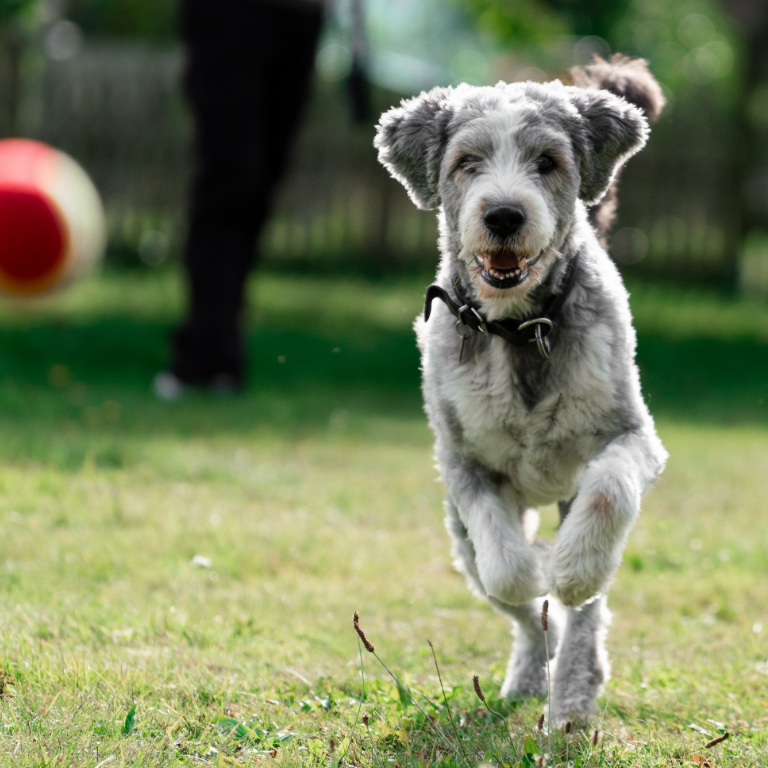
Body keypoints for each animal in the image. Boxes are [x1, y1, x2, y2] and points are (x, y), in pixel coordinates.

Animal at [376, 57, 668, 724]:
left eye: (548, 161)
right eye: (466, 162)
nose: (504, 214)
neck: (521, 329)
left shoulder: (632, 436)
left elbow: (609, 494)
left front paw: (572, 570)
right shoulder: (462, 464)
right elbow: (506, 566)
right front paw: (534, 569)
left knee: (586, 619)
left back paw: (573, 699)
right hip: (459, 540)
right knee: (520, 610)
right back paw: (535, 672)